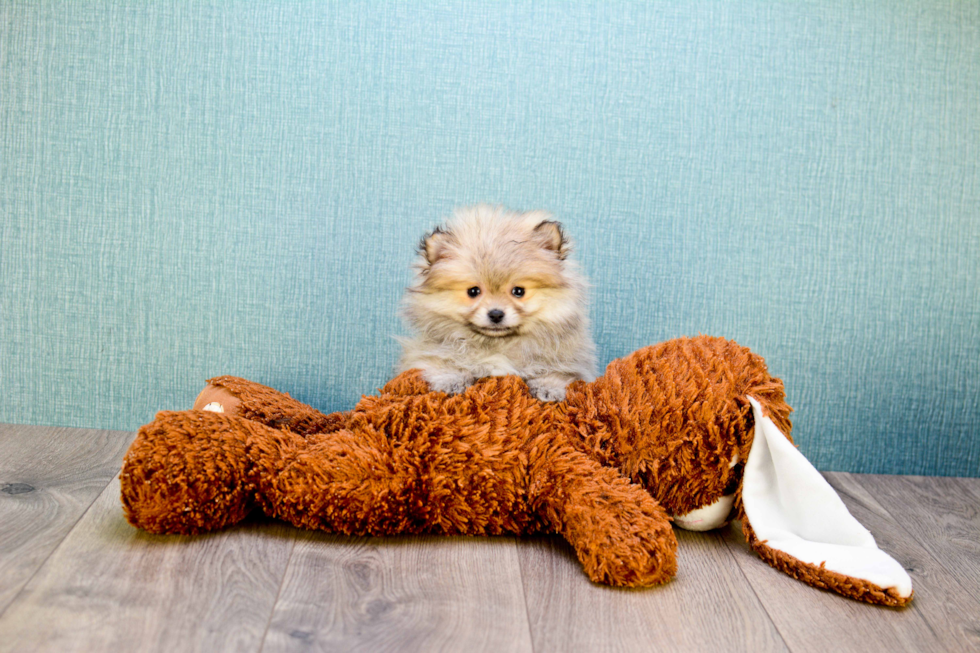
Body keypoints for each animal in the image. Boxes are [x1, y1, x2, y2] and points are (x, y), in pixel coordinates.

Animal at [398, 204, 596, 400]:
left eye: (518, 291)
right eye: (473, 291)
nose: (495, 314)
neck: (498, 345)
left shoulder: (573, 362)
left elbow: (559, 372)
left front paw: (548, 387)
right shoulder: (423, 353)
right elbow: (440, 362)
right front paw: (451, 380)